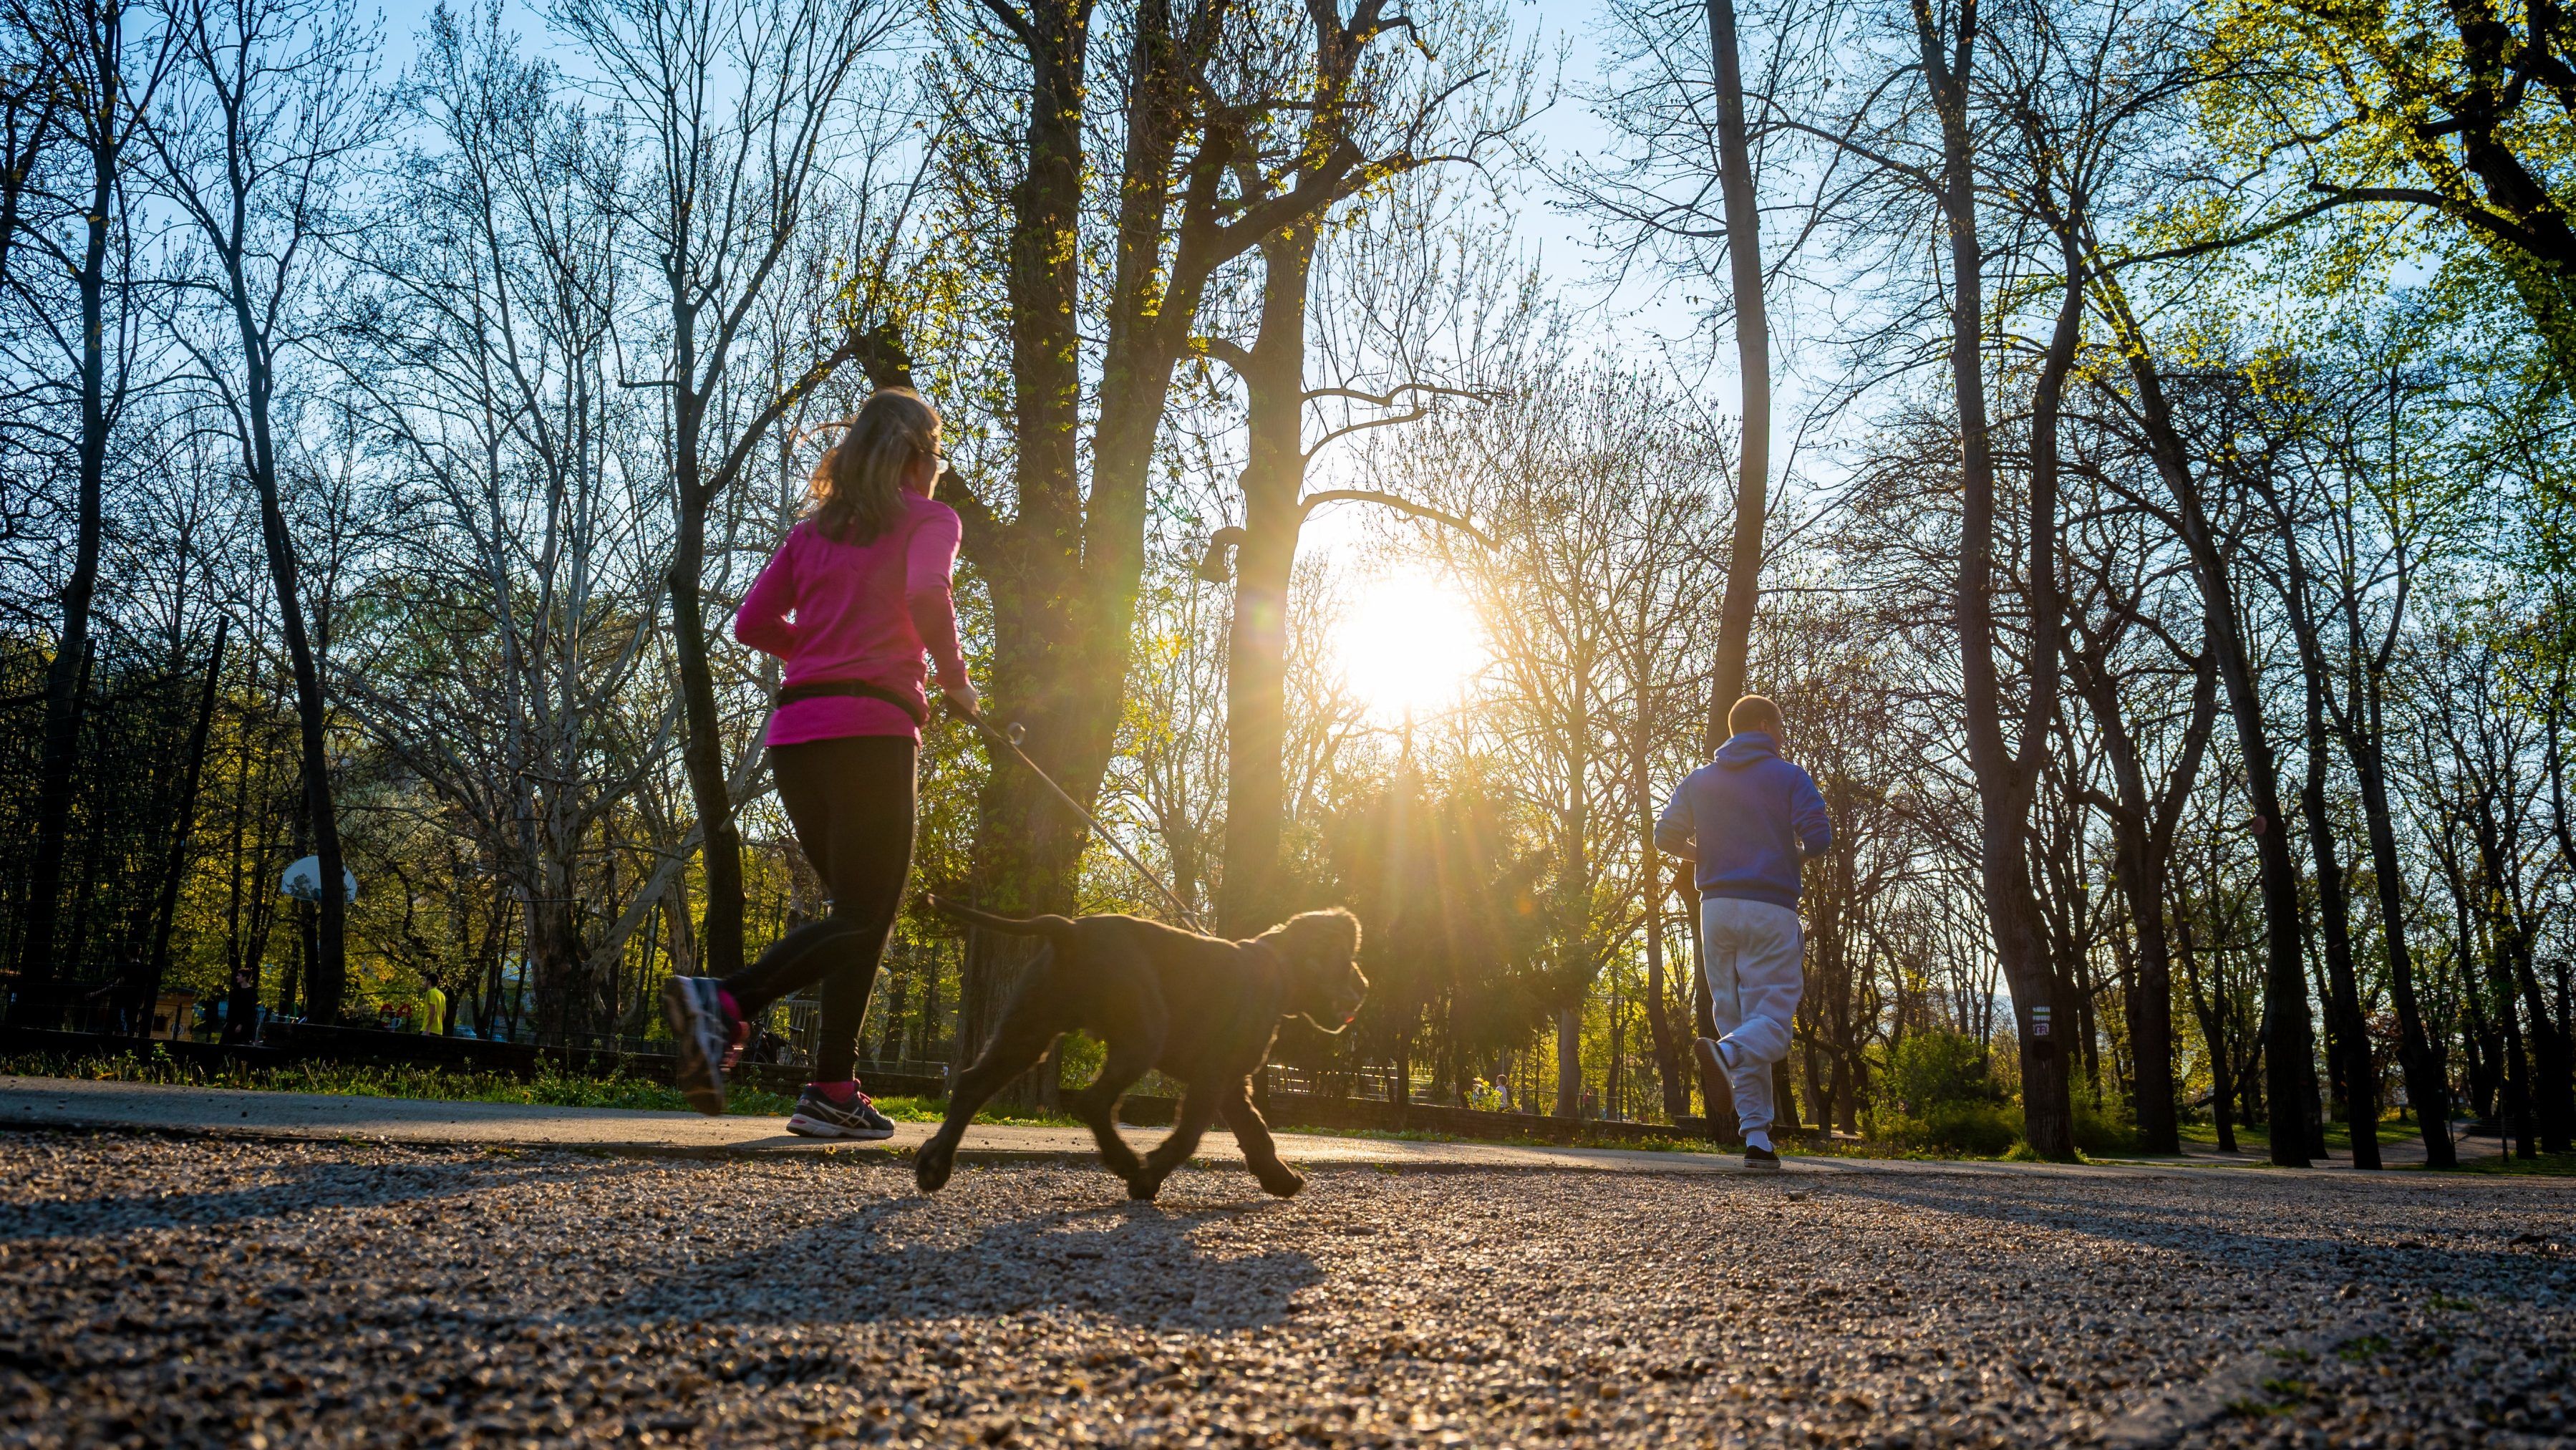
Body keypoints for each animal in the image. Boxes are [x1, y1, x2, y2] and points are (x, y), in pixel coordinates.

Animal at [927, 896, 1370, 1205]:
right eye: (1347, 958)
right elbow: (1190, 1134)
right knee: (1092, 1101)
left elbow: (1256, 1131)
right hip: (1141, 1036)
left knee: (971, 1084)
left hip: (1027, 1033)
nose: (1365, 986)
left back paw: (933, 1165)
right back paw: (1127, 1163)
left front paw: (1279, 1178)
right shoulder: (1214, 1075)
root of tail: (1070, 932)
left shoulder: (1231, 1083)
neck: (1279, 968)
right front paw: (1148, 1178)